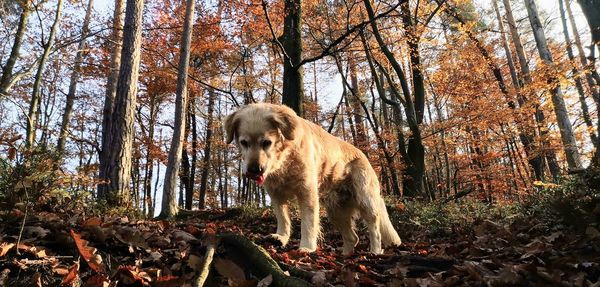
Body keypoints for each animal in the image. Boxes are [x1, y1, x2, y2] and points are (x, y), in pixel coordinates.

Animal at [223, 103, 400, 254]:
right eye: (244, 142)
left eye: (267, 142)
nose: (254, 171)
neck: (284, 160)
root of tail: (363, 155)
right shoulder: (276, 193)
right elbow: (283, 217)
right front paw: (281, 236)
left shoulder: (307, 192)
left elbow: (308, 223)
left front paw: (307, 247)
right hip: (336, 211)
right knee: (352, 237)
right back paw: (346, 256)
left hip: (365, 198)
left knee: (374, 226)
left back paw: (375, 251)